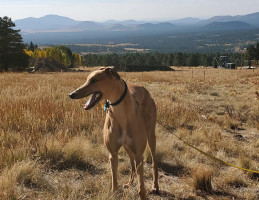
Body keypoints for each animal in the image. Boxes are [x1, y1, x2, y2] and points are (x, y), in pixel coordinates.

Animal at [69, 67, 158, 200]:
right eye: (87, 79)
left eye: (94, 80)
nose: (71, 94)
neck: (121, 114)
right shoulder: (113, 154)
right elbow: (114, 180)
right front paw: (116, 191)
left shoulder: (139, 154)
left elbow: (141, 185)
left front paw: (143, 193)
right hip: (127, 147)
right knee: (132, 164)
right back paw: (129, 183)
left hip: (151, 136)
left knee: (153, 162)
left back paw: (155, 186)